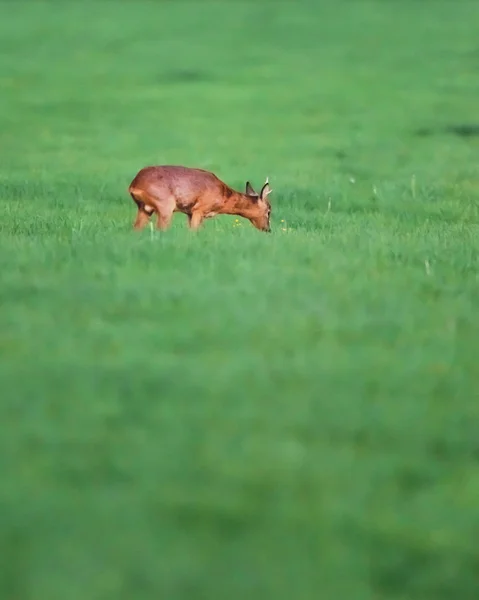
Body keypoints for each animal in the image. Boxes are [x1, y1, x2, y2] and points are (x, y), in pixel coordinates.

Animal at [128, 166, 274, 232]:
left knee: (136, 229)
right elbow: (193, 232)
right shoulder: (199, 209)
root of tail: (134, 185)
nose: (268, 229)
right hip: (165, 206)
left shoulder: (190, 212)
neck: (223, 196)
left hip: (144, 208)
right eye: (269, 210)